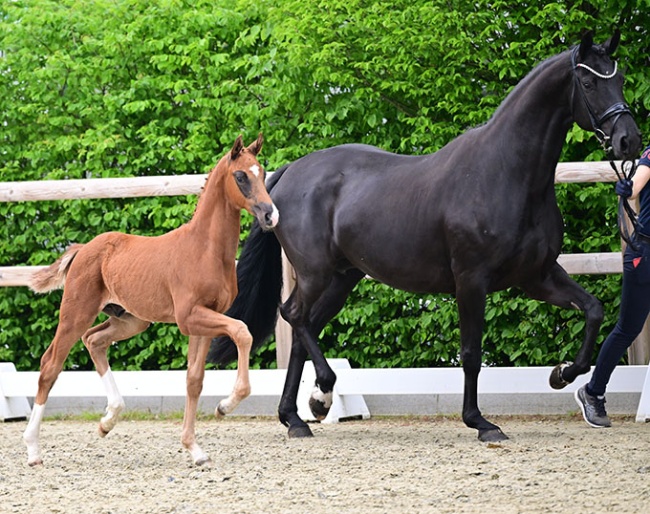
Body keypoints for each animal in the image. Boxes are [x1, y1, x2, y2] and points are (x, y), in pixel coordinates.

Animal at [23, 134, 279, 467]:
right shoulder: (189, 317)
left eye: (263, 172)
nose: (270, 215)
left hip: (131, 320)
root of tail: (82, 249)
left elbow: (194, 379)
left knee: (94, 340)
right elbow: (242, 332)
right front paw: (225, 405)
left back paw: (108, 421)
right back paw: (33, 450)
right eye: (240, 176)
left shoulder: (203, 321)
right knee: (51, 364)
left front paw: (194, 449)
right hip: (76, 312)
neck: (205, 249)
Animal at [207, 31, 641, 442]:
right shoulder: (471, 281)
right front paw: (480, 422)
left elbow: (593, 310)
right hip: (317, 273)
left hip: (342, 278)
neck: (505, 173)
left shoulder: (536, 276)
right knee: (294, 316)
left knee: (303, 327)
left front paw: (562, 374)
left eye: (619, 78)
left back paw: (297, 417)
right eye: (588, 81)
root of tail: (288, 175)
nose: (629, 141)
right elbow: (471, 354)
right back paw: (321, 396)